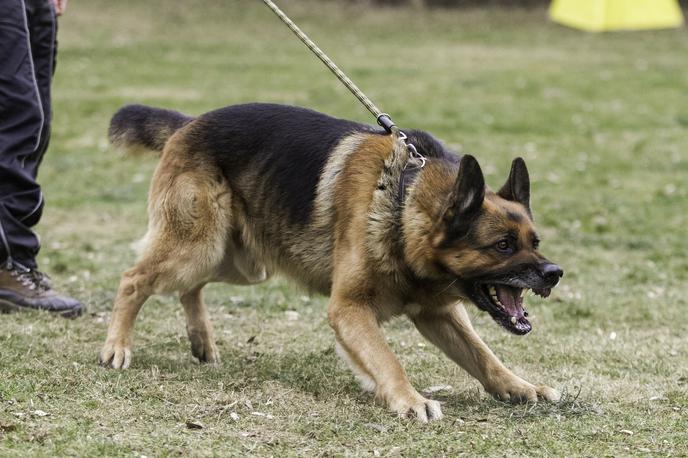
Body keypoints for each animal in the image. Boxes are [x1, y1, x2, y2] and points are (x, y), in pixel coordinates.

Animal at [102, 104, 564, 422]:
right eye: (502, 245)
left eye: (535, 242)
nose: (554, 274)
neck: (403, 202)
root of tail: (190, 122)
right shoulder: (349, 309)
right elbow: (388, 359)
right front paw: (410, 399)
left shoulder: (439, 314)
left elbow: (484, 356)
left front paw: (520, 387)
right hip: (198, 248)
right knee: (133, 279)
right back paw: (117, 347)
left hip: (240, 262)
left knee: (189, 286)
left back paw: (200, 341)